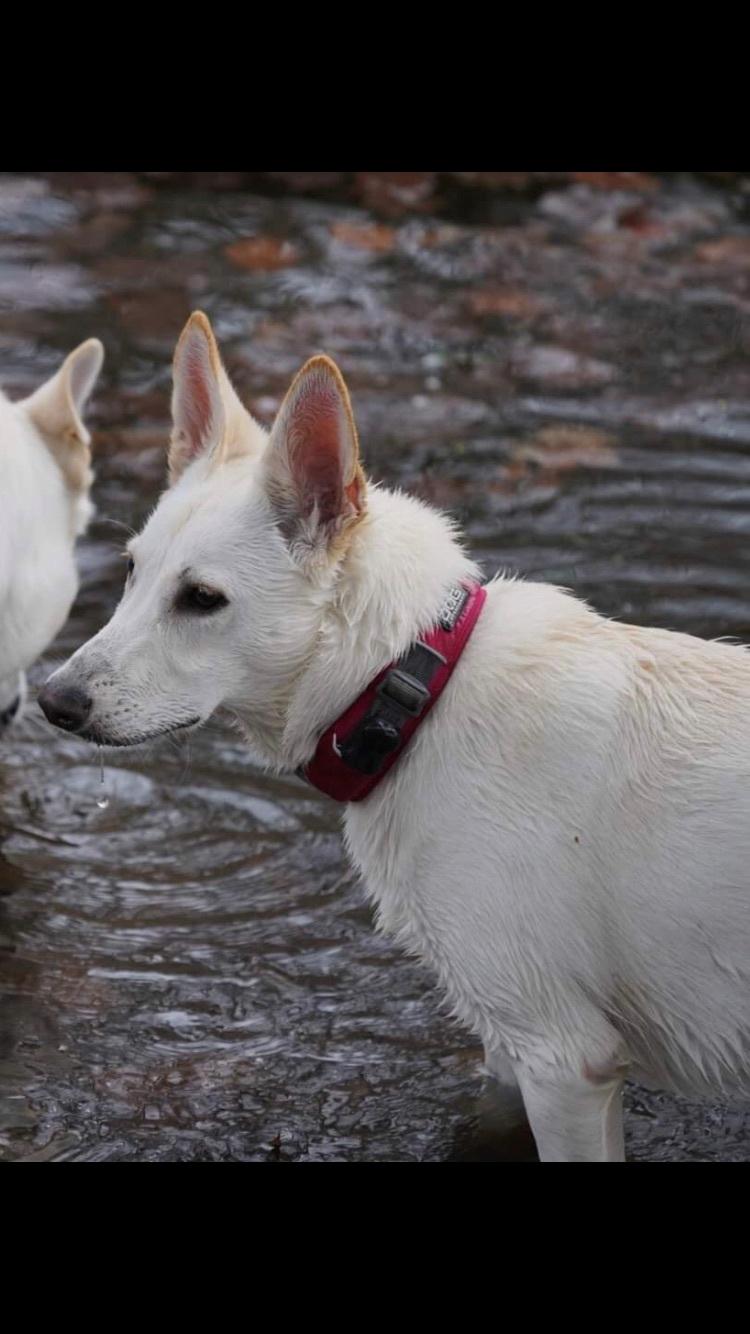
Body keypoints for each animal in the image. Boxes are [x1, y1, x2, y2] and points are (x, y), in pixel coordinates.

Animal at [39, 309, 747, 1157]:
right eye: (131, 571)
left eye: (202, 599)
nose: (53, 701)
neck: (415, 690)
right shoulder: (509, 1053)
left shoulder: (564, 1058)